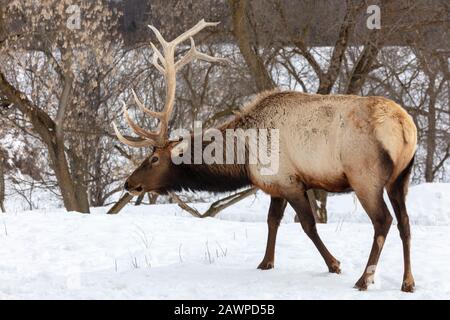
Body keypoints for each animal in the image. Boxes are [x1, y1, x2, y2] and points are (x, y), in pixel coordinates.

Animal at [113, 18, 418, 292]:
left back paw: (364, 279)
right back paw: (408, 282)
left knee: (383, 221)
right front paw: (265, 263)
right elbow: (272, 221)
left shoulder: (290, 181)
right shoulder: (275, 185)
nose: (129, 183)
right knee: (404, 222)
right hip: (401, 177)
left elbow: (308, 225)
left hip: (365, 177)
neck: (243, 157)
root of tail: (405, 127)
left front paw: (334, 264)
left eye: (154, 159)